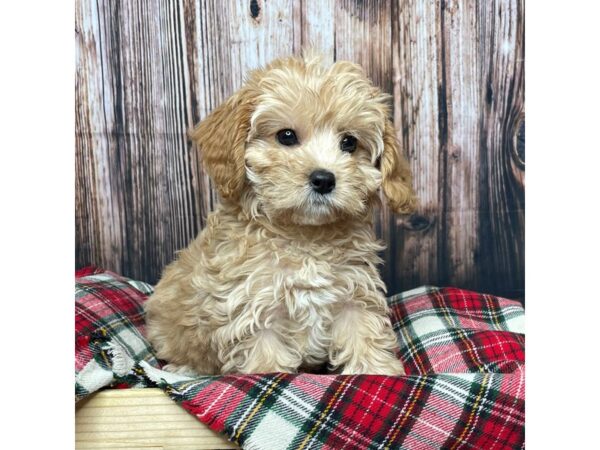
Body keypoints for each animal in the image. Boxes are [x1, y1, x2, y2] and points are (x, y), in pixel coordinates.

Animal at [146, 53, 418, 376]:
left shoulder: (353, 293)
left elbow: (364, 334)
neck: (305, 238)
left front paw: (378, 372)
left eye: (350, 142)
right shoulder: (252, 309)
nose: (324, 179)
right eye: (286, 136)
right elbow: (267, 361)